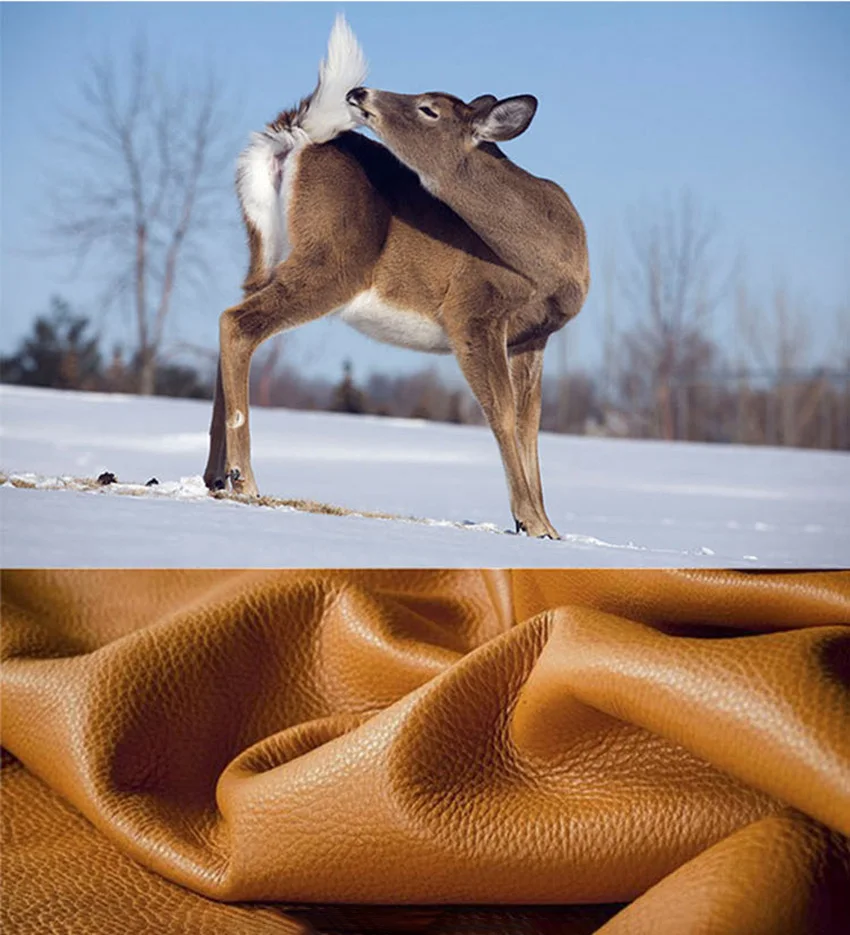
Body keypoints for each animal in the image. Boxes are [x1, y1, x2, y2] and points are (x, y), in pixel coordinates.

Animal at [203, 16, 589, 538]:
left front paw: (545, 526)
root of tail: (295, 134)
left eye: (429, 108)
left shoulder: (533, 337)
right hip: (335, 260)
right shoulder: (473, 311)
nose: (360, 93)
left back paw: (214, 476)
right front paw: (529, 520)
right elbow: (503, 416)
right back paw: (244, 478)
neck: (549, 255)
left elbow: (531, 427)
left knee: (229, 321)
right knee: (238, 323)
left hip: (263, 254)